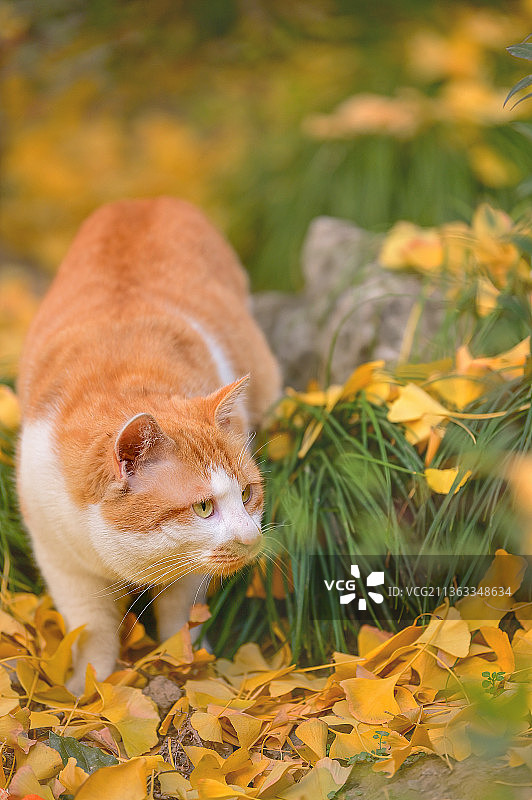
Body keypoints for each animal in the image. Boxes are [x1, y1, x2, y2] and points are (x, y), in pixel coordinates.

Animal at [17, 198, 282, 692]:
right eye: (203, 507)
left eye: (248, 495)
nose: (250, 537)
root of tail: (143, 200)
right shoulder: (61, 560)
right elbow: (92, 631)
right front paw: (90, 689)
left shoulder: (190, 574)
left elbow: (182, 617)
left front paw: (188, 664)